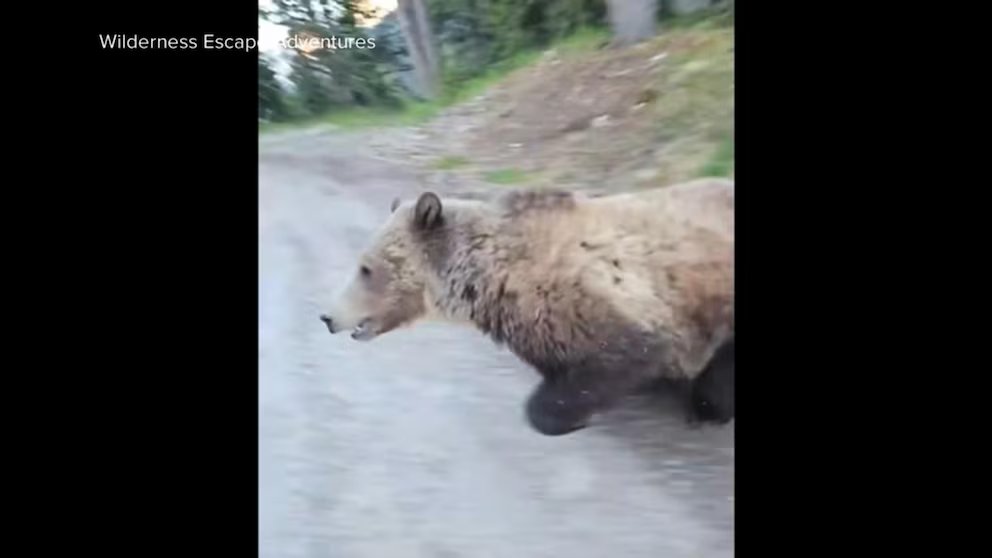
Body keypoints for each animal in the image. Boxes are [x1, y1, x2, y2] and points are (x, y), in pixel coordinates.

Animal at [320, 177, 734, 435]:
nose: (327, 317)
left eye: (366, 268)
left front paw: (563, 413)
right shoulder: (535, 323)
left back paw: (706, 408)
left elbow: (630, 350)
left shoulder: (606, 298)